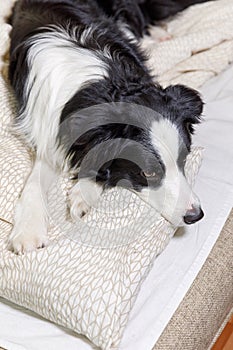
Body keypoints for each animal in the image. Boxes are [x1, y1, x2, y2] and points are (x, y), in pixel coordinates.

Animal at [7, 0, 204, 252]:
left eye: (184, 159)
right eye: (148, 172)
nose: (195, 215)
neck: (101, 87)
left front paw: (82, 194)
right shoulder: (48, 131)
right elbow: (34, 181)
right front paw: (28, 231)